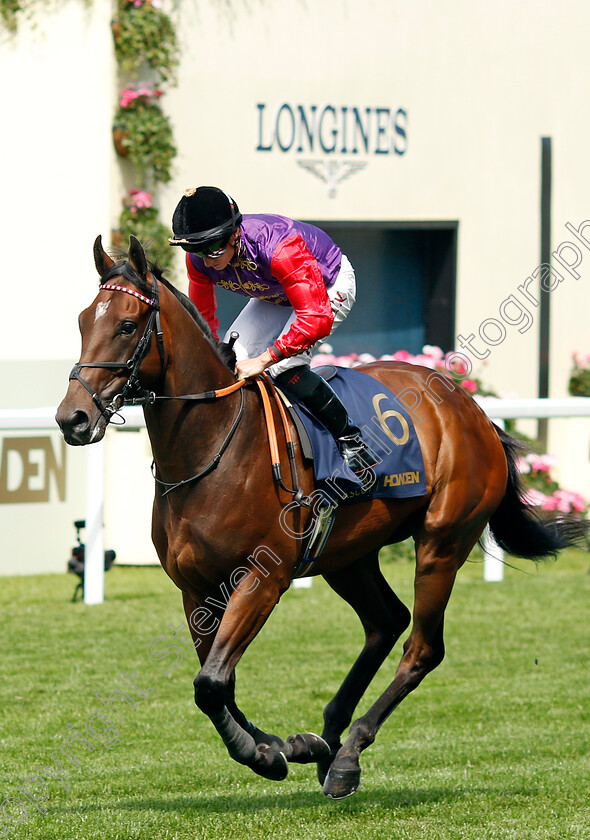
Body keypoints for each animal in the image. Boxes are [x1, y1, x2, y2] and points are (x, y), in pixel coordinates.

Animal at [54, 236, 588, 800]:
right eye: (83, 320)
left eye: (127, 325)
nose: (72, 418)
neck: (211, 448)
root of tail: (470, 407)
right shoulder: (196, 590)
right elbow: (218, 682)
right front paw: (280, 745)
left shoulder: (263, 580)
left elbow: (211, 684)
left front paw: (264, 753)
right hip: (348, 554)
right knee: (386, 622)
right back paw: (327, 741)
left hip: (442, 542)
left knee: (422, 647)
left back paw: (348, 754)